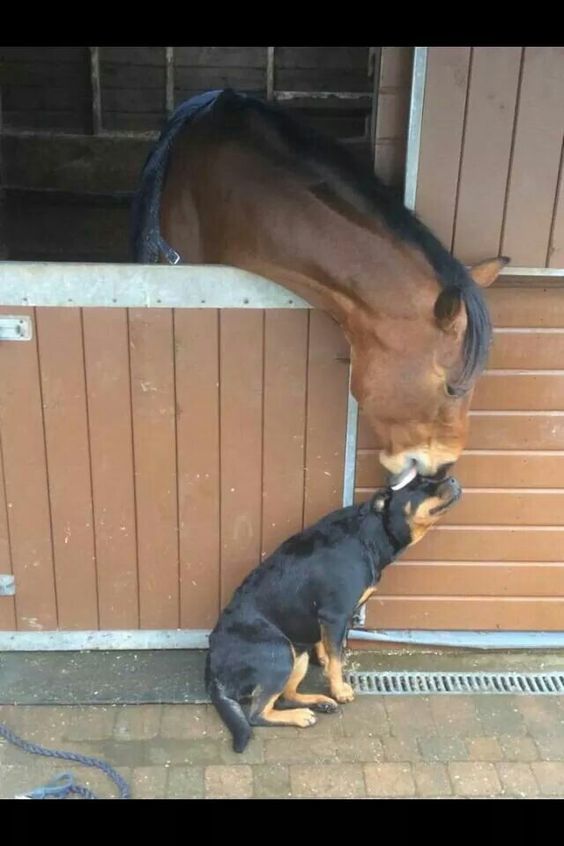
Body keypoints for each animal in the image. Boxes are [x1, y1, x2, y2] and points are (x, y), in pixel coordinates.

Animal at [205, 476, 460, 756]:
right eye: (420, 484)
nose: (453, 478)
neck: (369, 535)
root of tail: (213, 670)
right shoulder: (335, 615)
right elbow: (338, 660)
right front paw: (340, 690)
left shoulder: (331, 620)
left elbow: (331, 649)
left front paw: (326, 662)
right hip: (280, 653)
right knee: (257, 713)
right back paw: (303, 715)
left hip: (297, 656)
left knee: (284, 697)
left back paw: (319, 703)